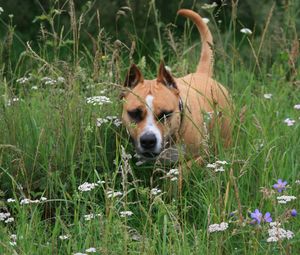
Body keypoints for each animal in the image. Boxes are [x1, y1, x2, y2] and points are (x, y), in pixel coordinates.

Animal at [120, 9, 232, 169]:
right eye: (134, 113)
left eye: (166, 114)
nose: (148, 140)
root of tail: (202, 74)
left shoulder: (201, 156)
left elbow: (181, 171)